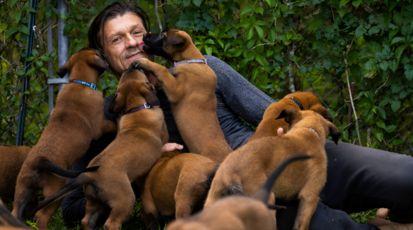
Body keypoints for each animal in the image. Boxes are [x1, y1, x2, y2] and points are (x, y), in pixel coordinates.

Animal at [12, 48, 113, 228]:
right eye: (99, 54)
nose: (104, 53)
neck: (79, 82)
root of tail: (39, 161)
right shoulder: (101, 125)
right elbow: (113, 123)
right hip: (55, 191)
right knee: (41, 216)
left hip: (22, 189)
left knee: (15, 212)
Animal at [33, 64, 167, 230]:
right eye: (139, 73)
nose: (131, 66)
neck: (137, 108)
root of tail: (90, 175)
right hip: (124, 201)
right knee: (111, 223)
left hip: (93, 202)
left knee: (86, 220)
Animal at [135, 28, 232, 162]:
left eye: (163, 35)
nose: (144, 34)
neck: (190, 61)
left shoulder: (175, 90)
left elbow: (162, 69)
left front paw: (145, 62)